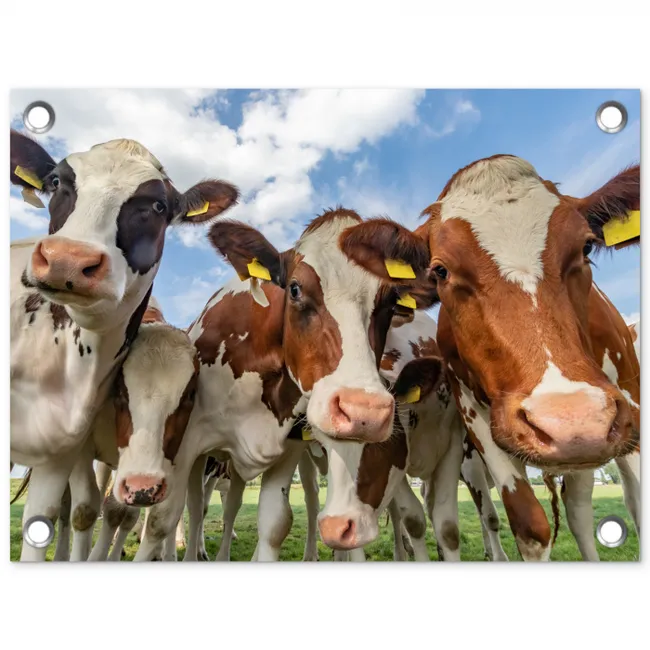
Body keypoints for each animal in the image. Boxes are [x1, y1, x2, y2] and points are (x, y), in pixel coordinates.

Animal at [10, 129, 238, 561]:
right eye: (56, 182)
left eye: (158, 205)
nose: (68, 259)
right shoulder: (79, 451)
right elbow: (85, 508)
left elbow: (137, 512)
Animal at [132, 207, 436, 561]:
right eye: (294, 289)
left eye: (390, 302)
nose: (365, 412)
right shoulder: (186, 443)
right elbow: (162, 519)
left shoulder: (288, 449)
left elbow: (275, 522)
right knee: (194, 508)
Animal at [340, 155, 641, 561]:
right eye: (441, 270)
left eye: (587, 249)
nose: (572, 420)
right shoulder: (475, 418)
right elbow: (529, 526)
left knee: (587, 510)